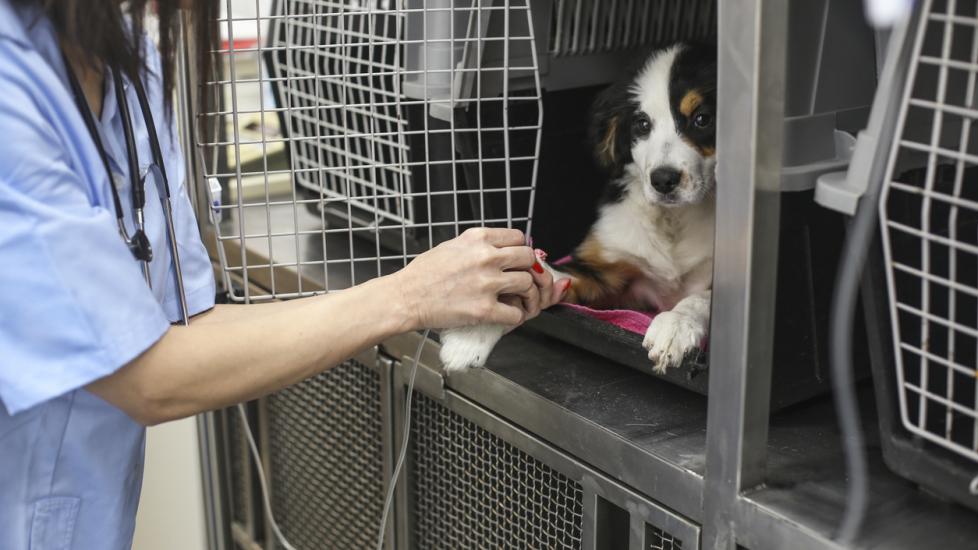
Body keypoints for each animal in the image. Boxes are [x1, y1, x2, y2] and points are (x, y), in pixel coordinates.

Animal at [438, 42, 712, 376]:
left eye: (702, 119)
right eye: (642, 124)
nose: (663, 180)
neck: (672, 220)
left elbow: (700, 299)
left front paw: (673, 327)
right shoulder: (602, 274)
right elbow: (539, 278)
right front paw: (471, 336)